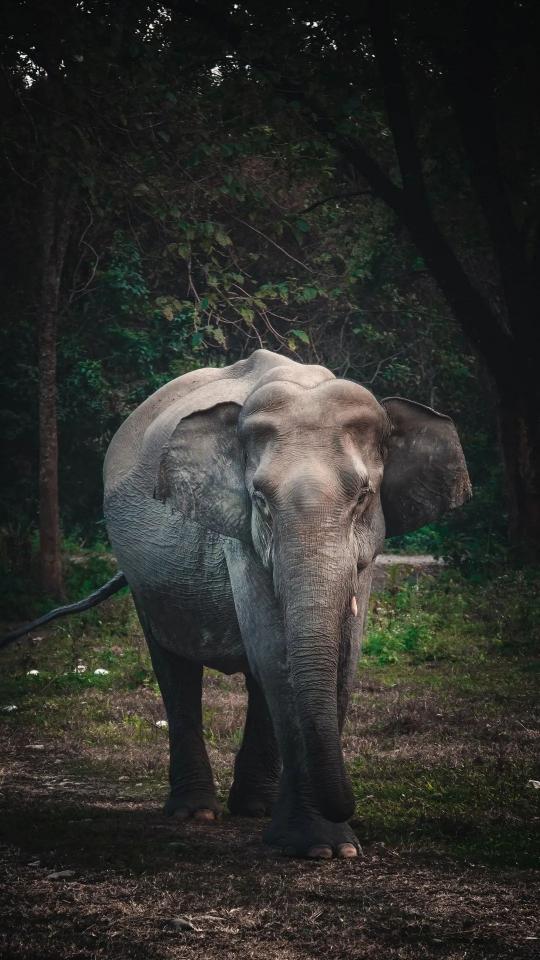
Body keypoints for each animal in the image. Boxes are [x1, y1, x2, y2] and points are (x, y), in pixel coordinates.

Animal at [3, 348, 471, 859]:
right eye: (259, 499)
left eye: (364, 497)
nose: (347, 803)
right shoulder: (240, 538)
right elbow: (273, 650)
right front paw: (318, 847)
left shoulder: (366, 554)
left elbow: (342, 657)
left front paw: (336, 848)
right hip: (144, 577)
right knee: (174, 667)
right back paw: (195, 812)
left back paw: (255, 809)